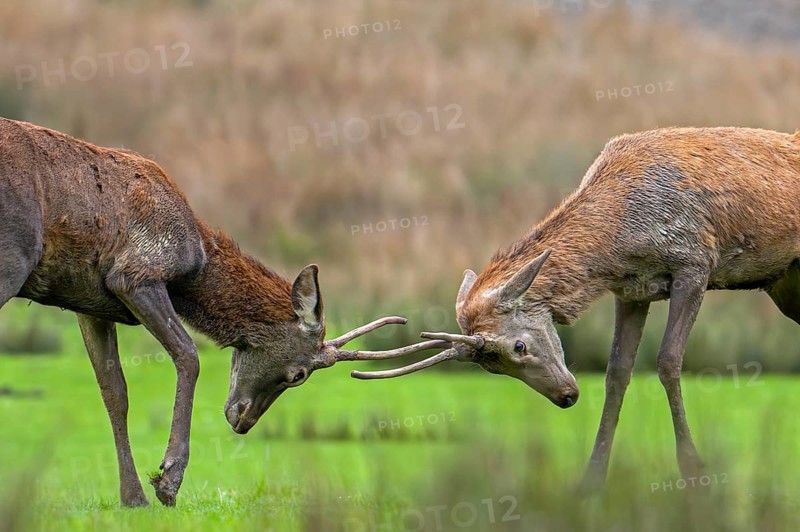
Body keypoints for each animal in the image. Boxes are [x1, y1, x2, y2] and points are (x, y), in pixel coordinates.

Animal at [0, 117, 446, 507]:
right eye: (299, 375)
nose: (243, 421)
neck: (196, 266)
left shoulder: (90, 303)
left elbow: (114, 391)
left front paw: (133, 498)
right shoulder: (136, 274)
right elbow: (189, 356)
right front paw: (168, 481)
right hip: (13, 259)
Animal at [351, 126, 800, 492]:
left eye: (517, 347)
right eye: (491, 368)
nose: (566, 396)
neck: (618, 243)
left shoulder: (695, 262)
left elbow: (668, 361)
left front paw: (694, 471)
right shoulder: (632, 290)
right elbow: (617, 372)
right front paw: (591, 479)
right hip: (784, 282)